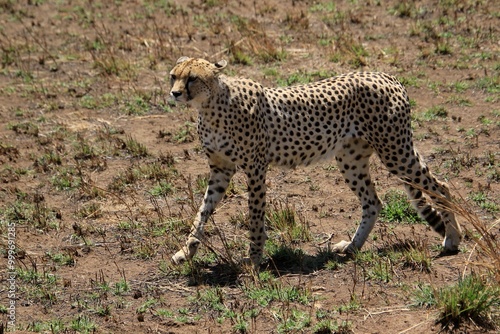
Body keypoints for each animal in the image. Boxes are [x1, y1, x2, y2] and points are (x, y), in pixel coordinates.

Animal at [170, 56, 462, 268]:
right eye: (174, 76)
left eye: (192, 78)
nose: (174, 93)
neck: (210, 105)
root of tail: (385, 75)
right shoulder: (221, 170)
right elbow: (202, 212)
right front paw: (186, 251)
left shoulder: (255, 168)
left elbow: (254, 216)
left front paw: (254, 259)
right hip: (351, 159)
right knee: (373, 202)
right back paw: (352, 246)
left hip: (395, 152)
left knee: (442, 187)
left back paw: (452, 239)